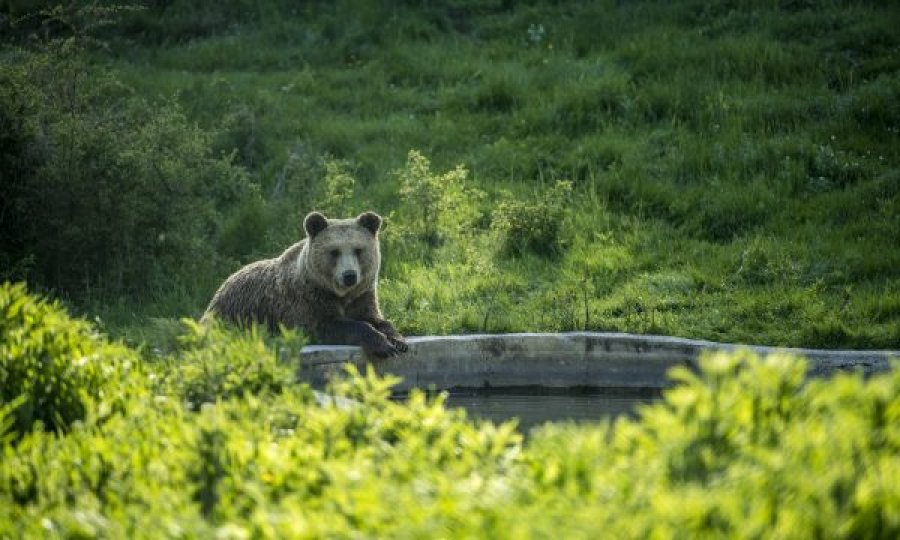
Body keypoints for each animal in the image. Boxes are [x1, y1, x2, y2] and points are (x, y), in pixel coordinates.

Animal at [203, 212, 408, 358]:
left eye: (358, 250)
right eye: (334, 251)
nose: (349, 275)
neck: (340, 294)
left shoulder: (362, 295)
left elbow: (377, 318)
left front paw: (398, 340)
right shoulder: (306, 300)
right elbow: (329, 325)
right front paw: (383, 345)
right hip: (232, 315)